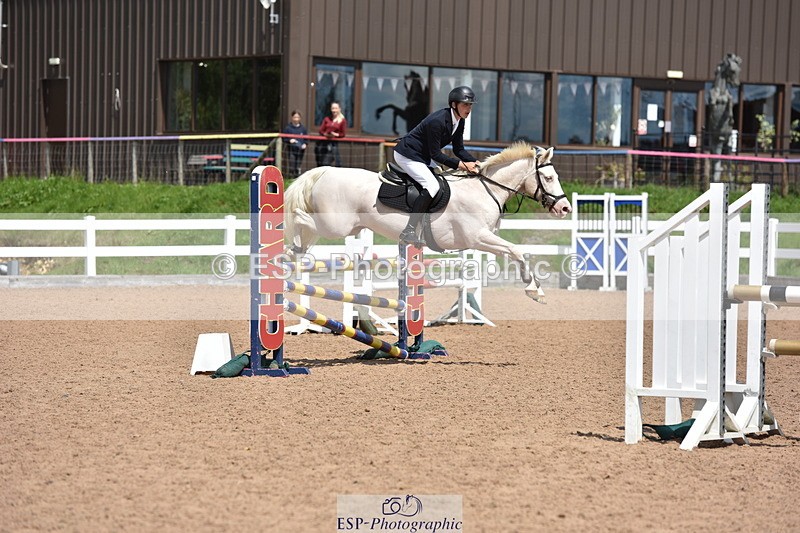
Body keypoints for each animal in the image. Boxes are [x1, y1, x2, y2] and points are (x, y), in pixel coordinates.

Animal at [283, 143, 572, 303]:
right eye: (548, 178)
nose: (565, 208)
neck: (484, 190)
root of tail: (325, 171)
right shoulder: (478, 237)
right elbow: (517, 250)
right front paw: (534, 289)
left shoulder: (483, 241)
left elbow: (516, 253)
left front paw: (534, 288)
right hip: (335, 225)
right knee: (299, 215)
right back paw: (292, 245)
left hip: (344, 226)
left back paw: (294, 251)